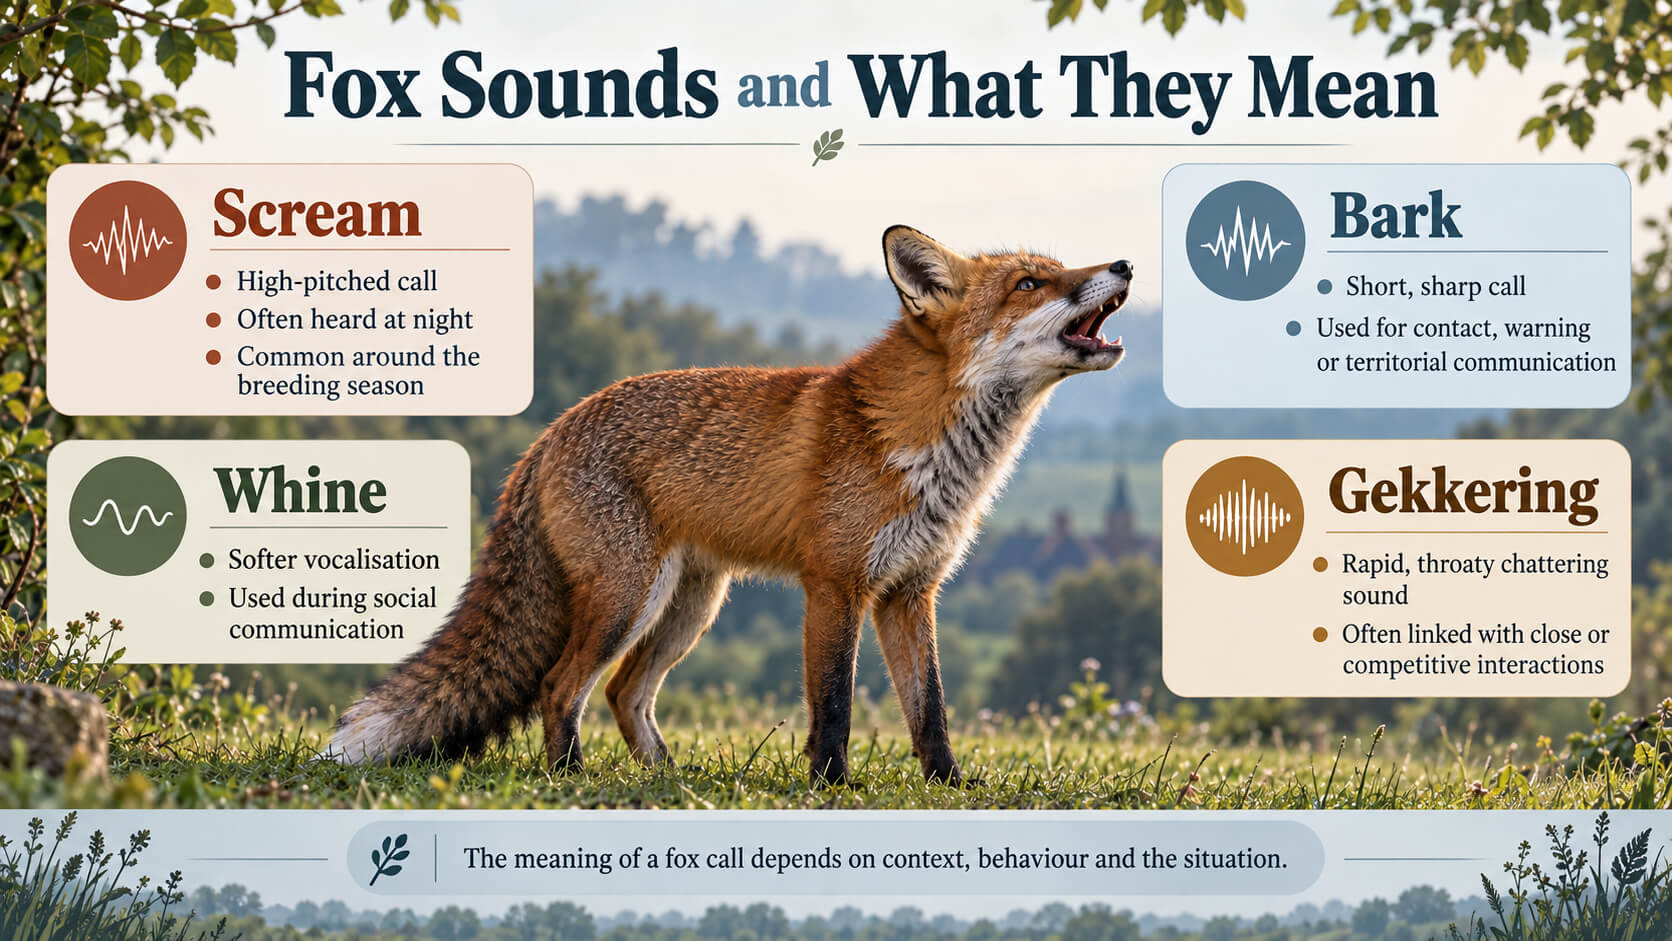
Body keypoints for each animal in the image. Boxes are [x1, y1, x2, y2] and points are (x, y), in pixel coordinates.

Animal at [328, 225, 1131, 786]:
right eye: (1031, 281)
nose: (1123, 266)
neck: (926, 448)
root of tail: (547, 435)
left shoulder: (911, 591)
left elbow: (929, 710)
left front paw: (952, 787)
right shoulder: (835, 584)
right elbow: (833, 704)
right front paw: (831, 787)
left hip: (690, 606)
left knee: (623, 693)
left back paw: (667, 781)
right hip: (629, 598)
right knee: (563, 686)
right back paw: (570, 778)